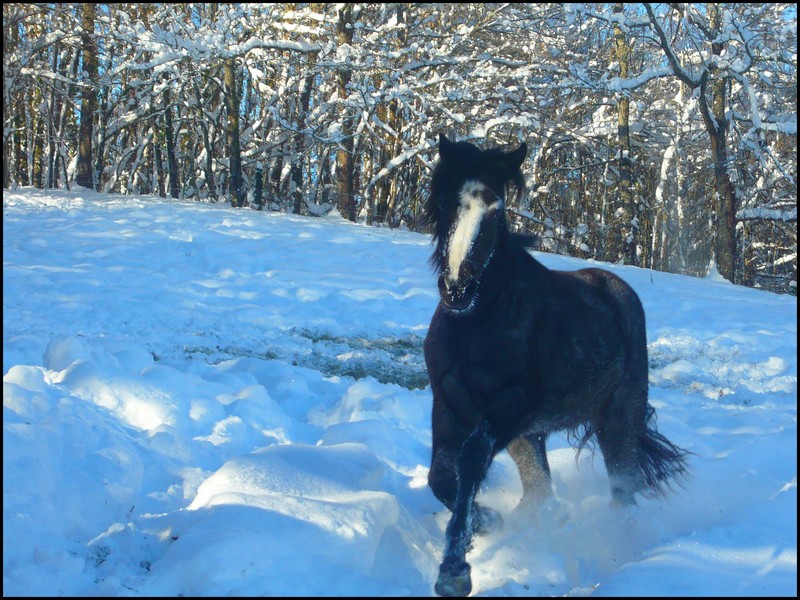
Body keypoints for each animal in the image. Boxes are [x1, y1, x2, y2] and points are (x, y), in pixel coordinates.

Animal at [418, 134, 688, 596]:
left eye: (496, 209)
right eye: (444, 198)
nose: (458, 288)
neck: (475, 323)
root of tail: (617, 290)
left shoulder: (510, 407)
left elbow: (469, 463)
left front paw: (455, 570)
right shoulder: (449, 405)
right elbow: (441, 478)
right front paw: (485, 522)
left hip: (618, 420)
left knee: (623, 494)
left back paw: (624, 556)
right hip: (529, 437)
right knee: (540, 491)